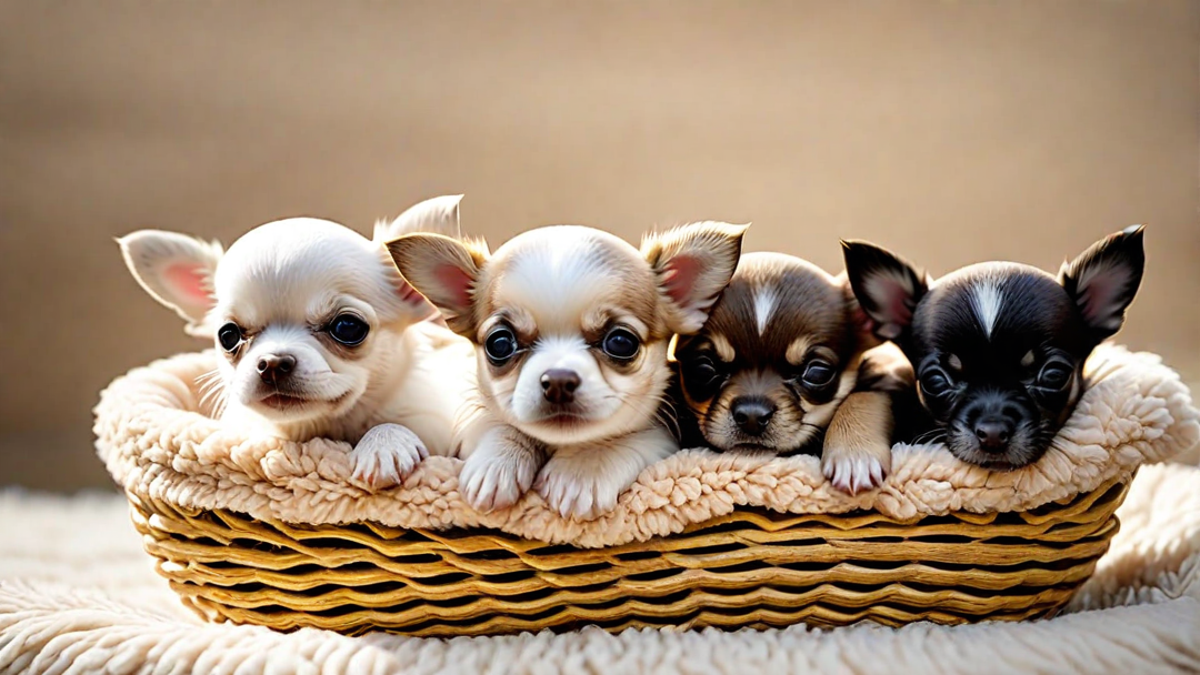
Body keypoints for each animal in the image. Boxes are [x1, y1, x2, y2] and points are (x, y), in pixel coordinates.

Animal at [388, 223, 744, 516]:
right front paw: (498, 461)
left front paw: (582, 472)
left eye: (621, 342)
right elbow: (500, 424)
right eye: (499, 344)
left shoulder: (665, 438)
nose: (558, 380)